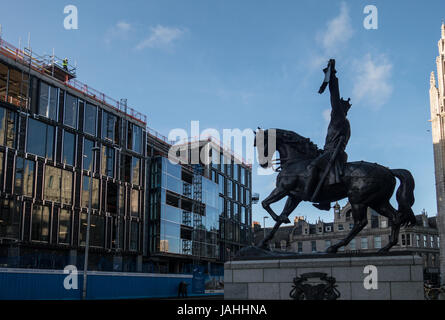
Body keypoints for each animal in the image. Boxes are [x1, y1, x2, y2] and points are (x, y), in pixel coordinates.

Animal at [253, 128, 416, 252]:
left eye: (262, 142)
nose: (263, 164)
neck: (297, 161)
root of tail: (389, 171)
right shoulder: (294, 196)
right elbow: (281, 214)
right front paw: (265, 241)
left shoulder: (283, 189)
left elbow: (265, 204)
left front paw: (278, 219)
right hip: (378, 201)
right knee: (395, 217)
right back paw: (386, 247)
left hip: (358, 199)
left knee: (360, 222)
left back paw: (336, 246)